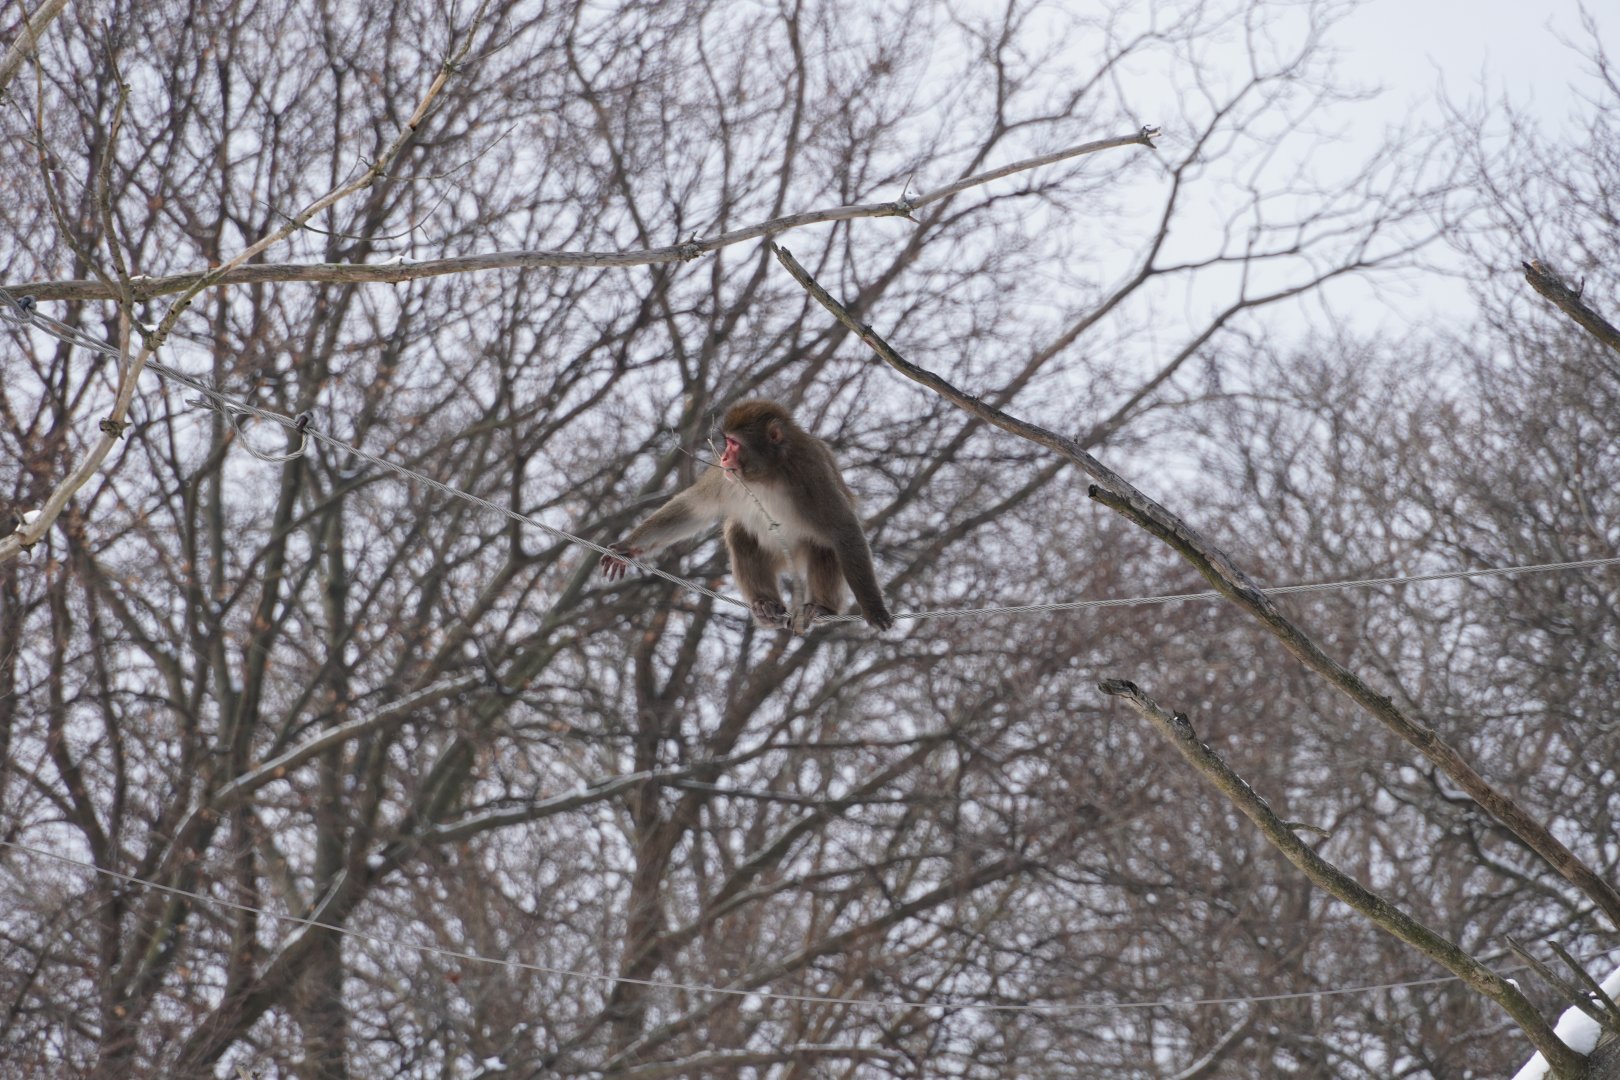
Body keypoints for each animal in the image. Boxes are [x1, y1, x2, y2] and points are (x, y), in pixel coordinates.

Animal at [600, 399, 894, 633]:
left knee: (825, 544)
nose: (724, 456)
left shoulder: (811, 470)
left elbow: (843, 529)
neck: (768, 475)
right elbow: (694, 508)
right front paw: (628, 547)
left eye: (733, 443)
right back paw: (765, 605)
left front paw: (874, 608)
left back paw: (821, 609)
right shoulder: (725, 477)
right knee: (739, 533)